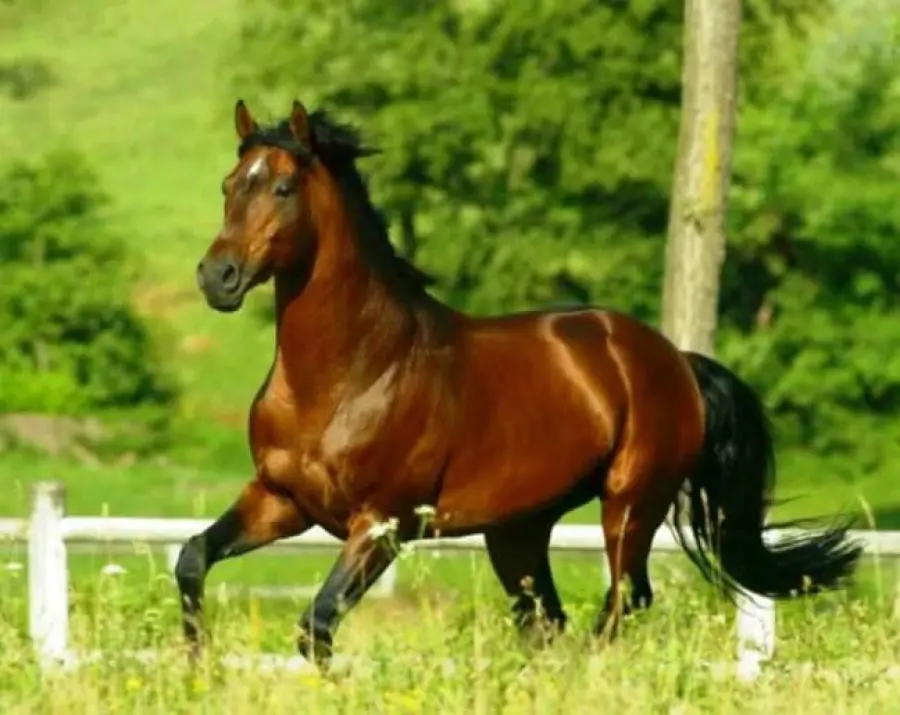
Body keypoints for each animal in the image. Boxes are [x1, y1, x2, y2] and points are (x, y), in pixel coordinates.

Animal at [177, 98, 863, 667]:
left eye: (284, 187)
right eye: (229, 186)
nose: (218, 276)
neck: (350, 373)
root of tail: (674, 359)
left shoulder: (381, 525)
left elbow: (316, 624)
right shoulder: (281, 500)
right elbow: (193, 560)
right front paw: (198, 666)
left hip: (629, 505)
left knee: (623, 601)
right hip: (518, 531)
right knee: (547, 622)